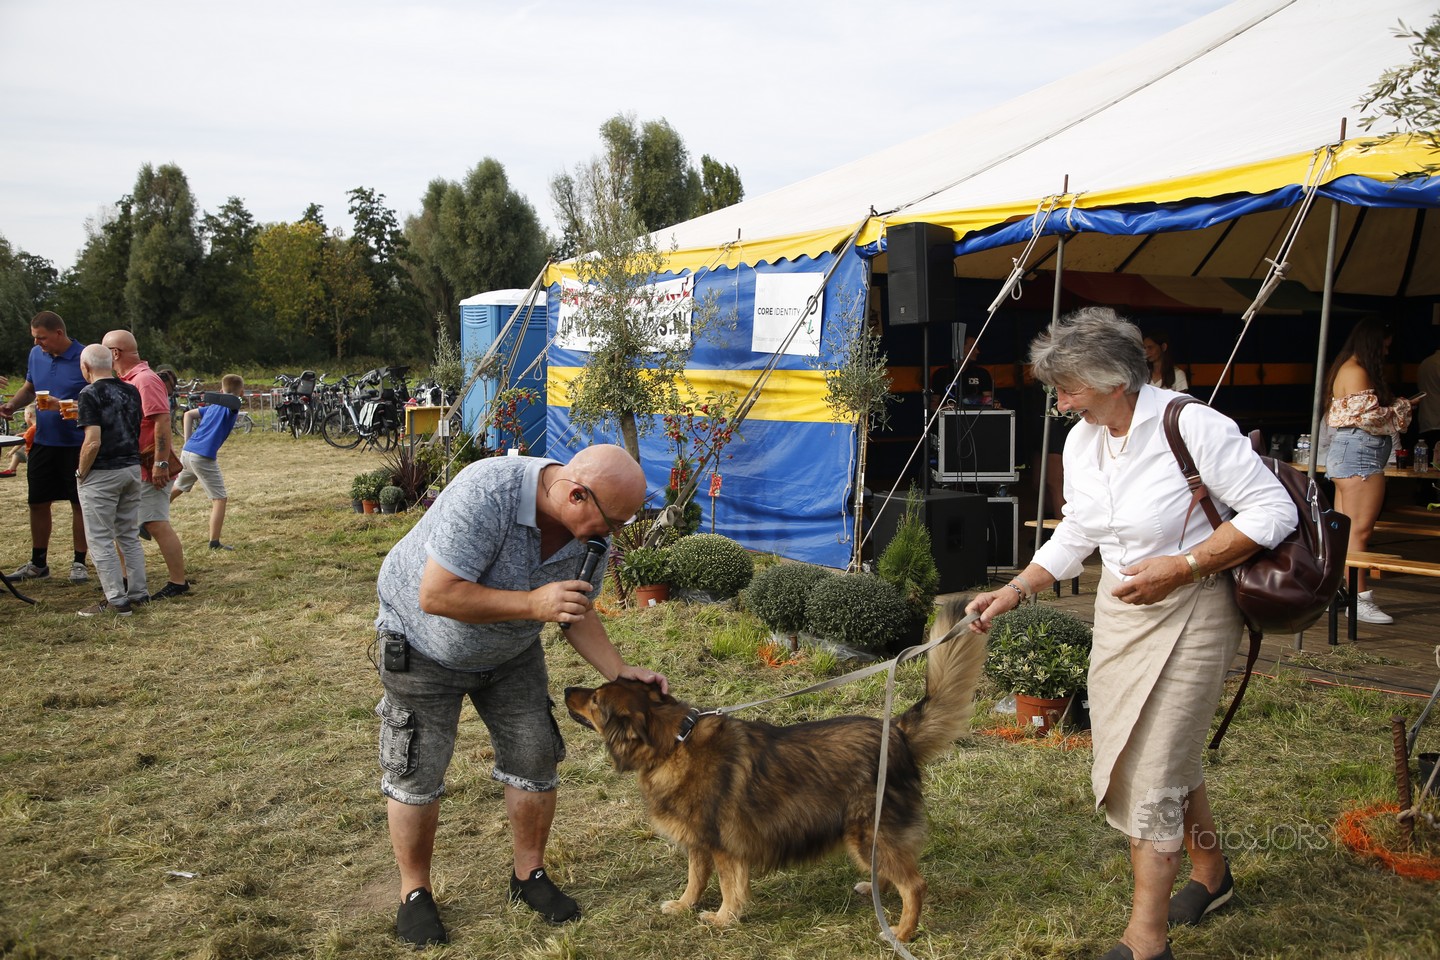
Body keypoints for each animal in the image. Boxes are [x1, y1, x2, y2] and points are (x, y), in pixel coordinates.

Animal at [563, 597, 983, 941]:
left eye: (596, 700)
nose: (566, 690)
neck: (673, 743)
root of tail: (896, 732)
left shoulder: (723, 847)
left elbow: (729, 886)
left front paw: (722, 918)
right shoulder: (699, 844)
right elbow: (695, 880)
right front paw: (683, 906)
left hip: (867, 834)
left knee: (914, 885)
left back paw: (901, 931)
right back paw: (875, 889)